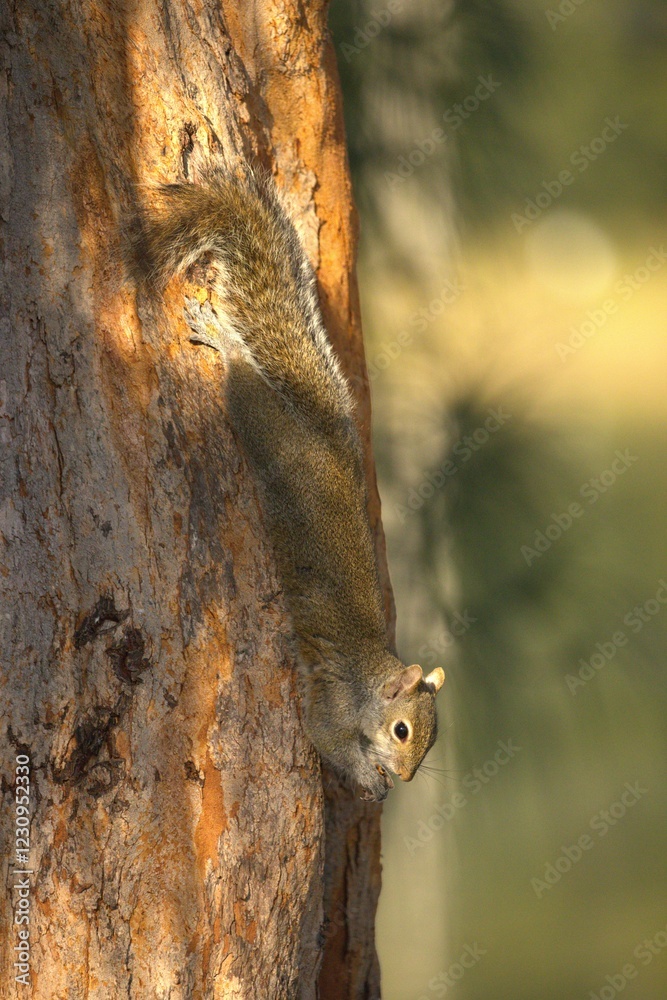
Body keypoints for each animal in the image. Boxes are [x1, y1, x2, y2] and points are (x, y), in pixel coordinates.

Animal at [129, 167, 445, 801]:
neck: (369, 677)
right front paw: (367, 780)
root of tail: (324, 445)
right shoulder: (331, 704)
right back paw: (224, 342)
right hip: (263, 428)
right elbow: (323, 737)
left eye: (430, 744)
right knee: (245, 385)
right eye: (401, 731)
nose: (403, 779)